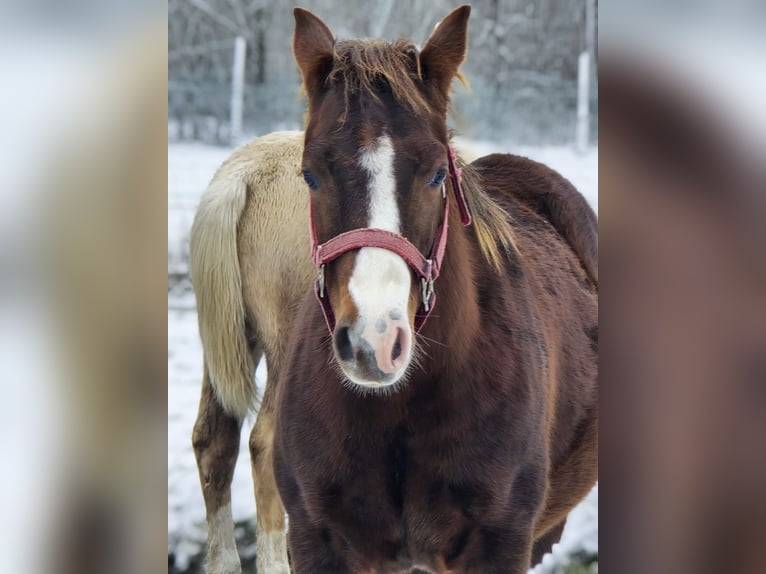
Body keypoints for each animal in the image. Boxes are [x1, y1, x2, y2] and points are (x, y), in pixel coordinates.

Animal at [189, 6, 597, 574]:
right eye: (310, 176)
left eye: (438, 176)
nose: (375, 340)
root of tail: (239, 176)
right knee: (258, 442)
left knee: (216, 443)